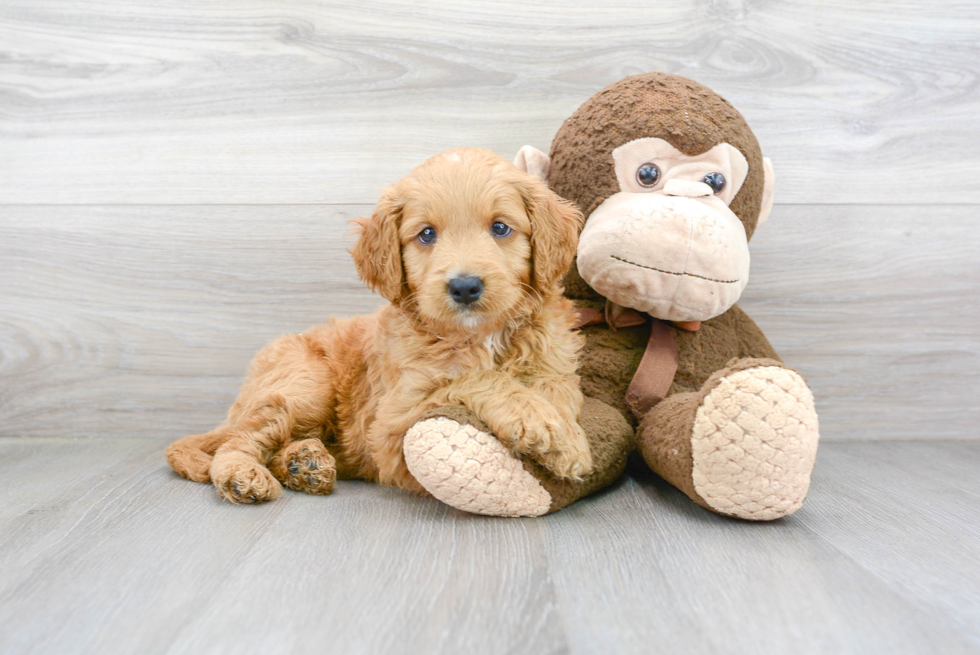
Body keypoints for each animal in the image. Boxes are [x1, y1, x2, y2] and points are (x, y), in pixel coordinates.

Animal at [166, 150, 588, 508]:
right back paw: (242, 474)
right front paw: (537, 419)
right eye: (427, 234)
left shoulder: (554, 364)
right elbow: (469, 378)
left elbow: (556, 391)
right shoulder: (391, 426)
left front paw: (565, 438)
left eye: (501, 228)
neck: (481, 336)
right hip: (305, 385)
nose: (465, 286)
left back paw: (304, 463)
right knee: (238, 441)